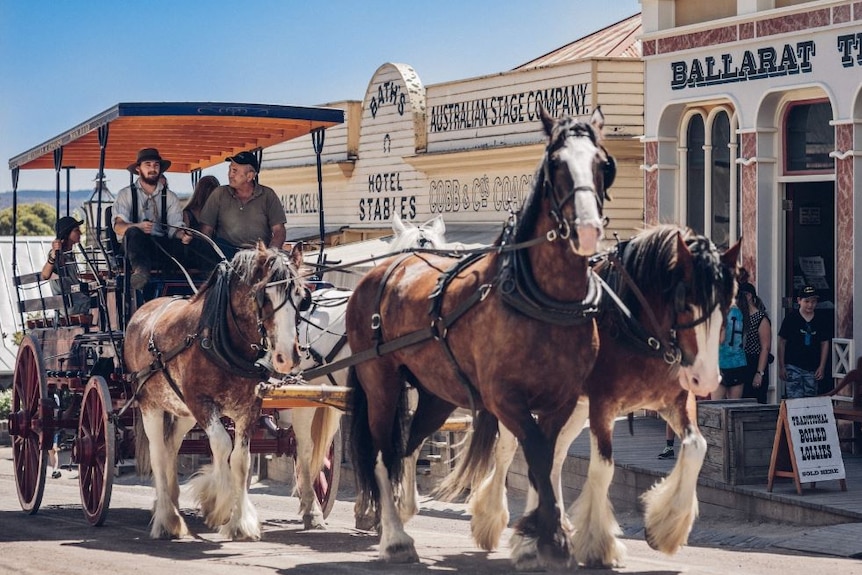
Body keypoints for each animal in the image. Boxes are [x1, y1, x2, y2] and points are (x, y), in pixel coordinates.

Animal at [128, 242, 310, 540]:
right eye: (264, 295)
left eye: (302, 296)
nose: (287, 357)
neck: (222, 338)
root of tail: (143, 310)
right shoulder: (202, 403)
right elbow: (223, 445)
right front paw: (220, 506)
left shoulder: (248, 408)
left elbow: (240, 460)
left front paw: (241, 522)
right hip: (150, 405)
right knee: (157, 452)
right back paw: (167, 518)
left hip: (183, 411)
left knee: (170, 447)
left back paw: (170, 503)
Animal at [344, 108, 616, 572]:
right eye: (556, 164)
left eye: (603, 164)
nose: (587, 230)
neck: (542, 299)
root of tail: (383, 270)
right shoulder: (506, 399)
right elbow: (537, 456)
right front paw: (546, 538)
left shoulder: (561, 400)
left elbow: (547, 461)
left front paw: (540, 535)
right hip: (379, 382)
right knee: (382, 453)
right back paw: (395, 538)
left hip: (436, 395)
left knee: (407, 447)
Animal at [438, 224, 744, 568]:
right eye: (684, 301)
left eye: (727, 303)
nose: (706, 378)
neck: (635, 326)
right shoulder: (603, 405)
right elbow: (603, 468)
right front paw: (599, 544)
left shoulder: (675, 402)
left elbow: (696, 447)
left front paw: (665, 528)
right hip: (523, 402)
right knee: (509, 452)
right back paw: (498, 523)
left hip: (572, 408)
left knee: (553, 457)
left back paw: (546, 529)